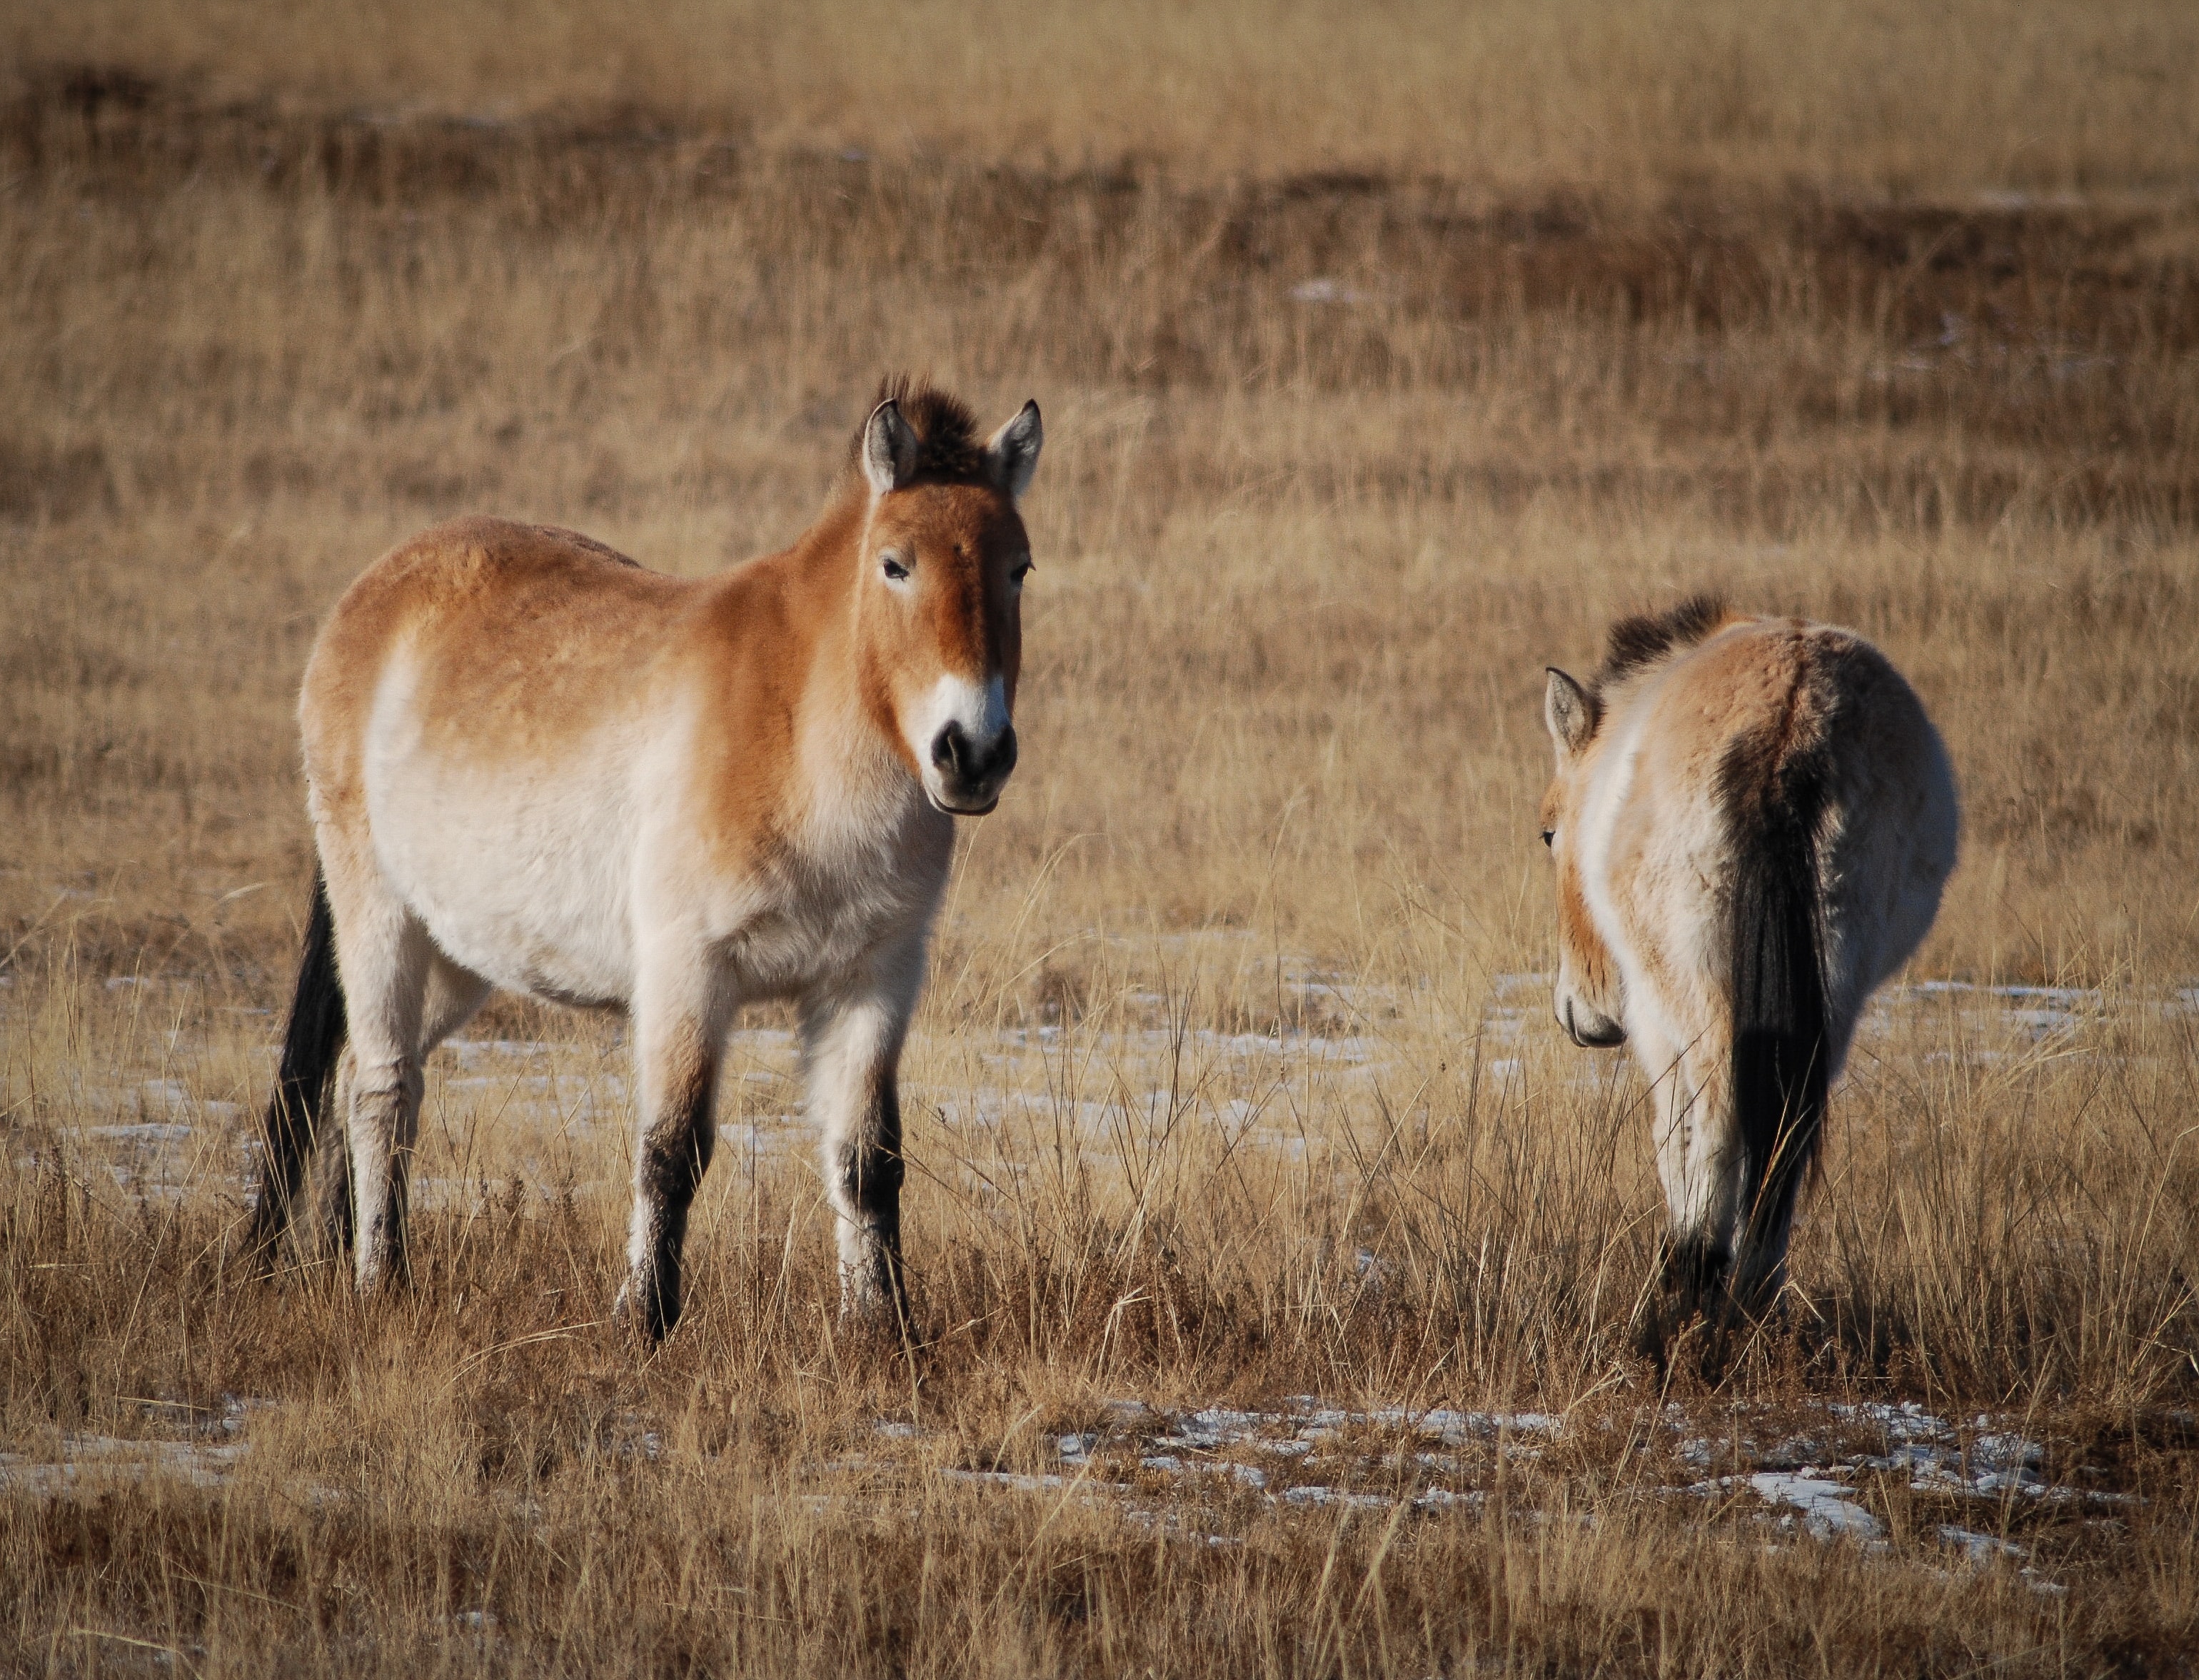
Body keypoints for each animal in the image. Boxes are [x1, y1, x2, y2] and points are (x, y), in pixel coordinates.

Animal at [241, 378, 1047, 1337]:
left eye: (1018, 568)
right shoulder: (686, 973)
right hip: (378, 916)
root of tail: (375, 590)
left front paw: (884, 1332)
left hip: (456, 954)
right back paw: (379, 1283)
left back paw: (332, 1263)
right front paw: (644, 1322)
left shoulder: (872, 979)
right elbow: (672, 1150)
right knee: (381, 1093)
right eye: (895, 564)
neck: (798, 732)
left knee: (348, 1087)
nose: (972, 753)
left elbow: (866, 1159)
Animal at [1548, 598, 1961, 1328]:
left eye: (1547, 833)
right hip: (1834, 989)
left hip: (1697, 995)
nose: (1580, 1016)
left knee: (1717, 1118)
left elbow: (1673, 1138)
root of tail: (1791, 724)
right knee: (1789, 1134)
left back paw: (1693, 1287)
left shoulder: (1656, 1021)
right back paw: (1755, 1293)